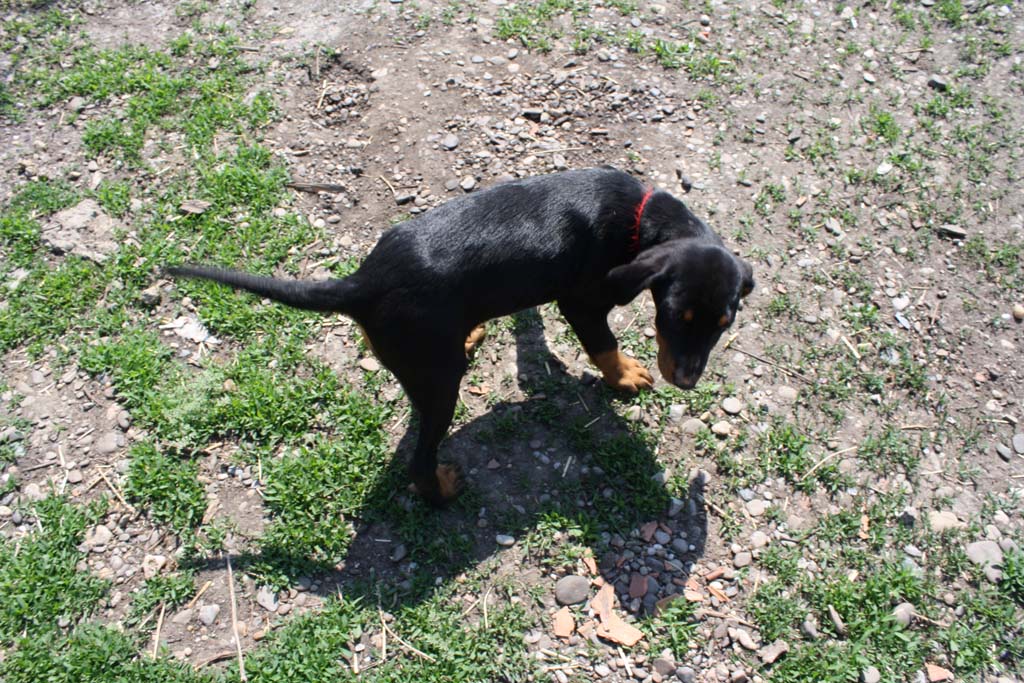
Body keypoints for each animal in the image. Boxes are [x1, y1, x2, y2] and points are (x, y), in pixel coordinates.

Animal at [166, 167, 753, 506]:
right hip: (438, 383)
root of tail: (361, 283)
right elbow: (602, 343)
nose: (687, 381)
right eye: (676, 315)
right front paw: (625, 374)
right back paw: (442, 491)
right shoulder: (582, 303)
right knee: (418, 460)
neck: (638, 217)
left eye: (724, 325)